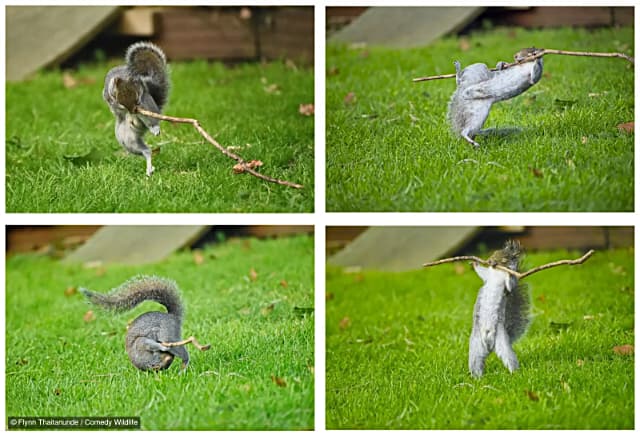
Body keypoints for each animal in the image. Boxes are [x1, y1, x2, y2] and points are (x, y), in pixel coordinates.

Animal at [79, 274, 210, 370]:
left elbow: (151, 344)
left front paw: (162, 347)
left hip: (167, 334)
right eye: (157, 365)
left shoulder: (142, 342)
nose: (168, 358)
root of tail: (172, 317)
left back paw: (183, 365)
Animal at [102, 41, 169, 176]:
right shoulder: (107, 92)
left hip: (149, 109)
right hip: (128, 139)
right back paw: (149, 168)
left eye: (137, 97)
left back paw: (154, 128)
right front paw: (115, 104)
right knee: (146, 151)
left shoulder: (141, 90)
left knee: (151, 122)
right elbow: (110, 101)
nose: (132, 110)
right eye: (119, 98)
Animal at [470, 240, 528, 376]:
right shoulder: (488, 276)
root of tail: (489, 347)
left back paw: (515, 374)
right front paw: (474, 263)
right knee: (476, 361)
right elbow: (482, 272)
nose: (490, 261)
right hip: (476, 345)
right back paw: (477, 377)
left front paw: (509, 272)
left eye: (506, 258)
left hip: (501, 341)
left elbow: (510, 285)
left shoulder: (508, 285)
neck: (498, 272)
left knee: (509, 359)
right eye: (493, 252)